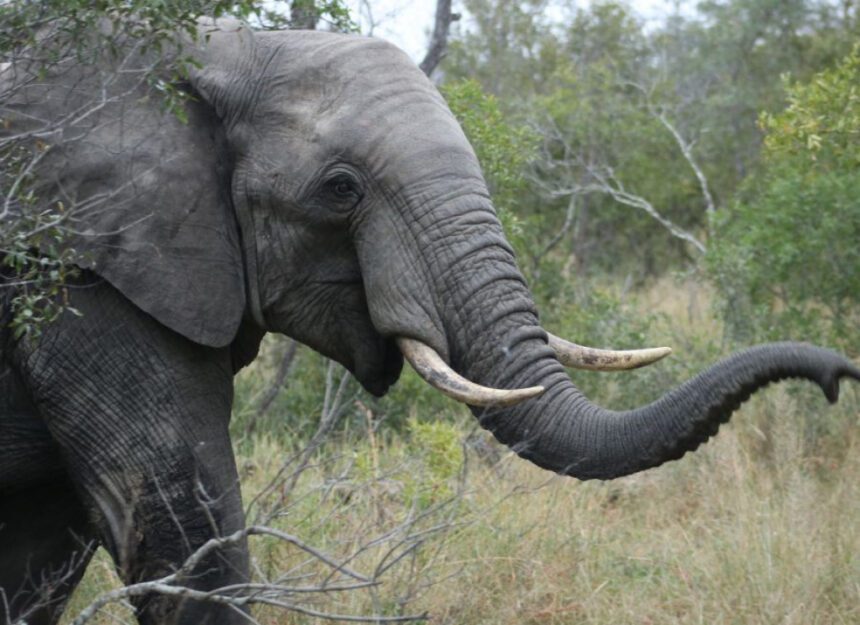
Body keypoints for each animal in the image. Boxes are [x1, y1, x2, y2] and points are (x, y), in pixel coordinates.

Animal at [1, 17, 858, 625]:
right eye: (341, 189)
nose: (838, 371)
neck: (221, 46)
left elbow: (44, 546)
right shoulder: (77, 274)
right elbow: (180, 527)